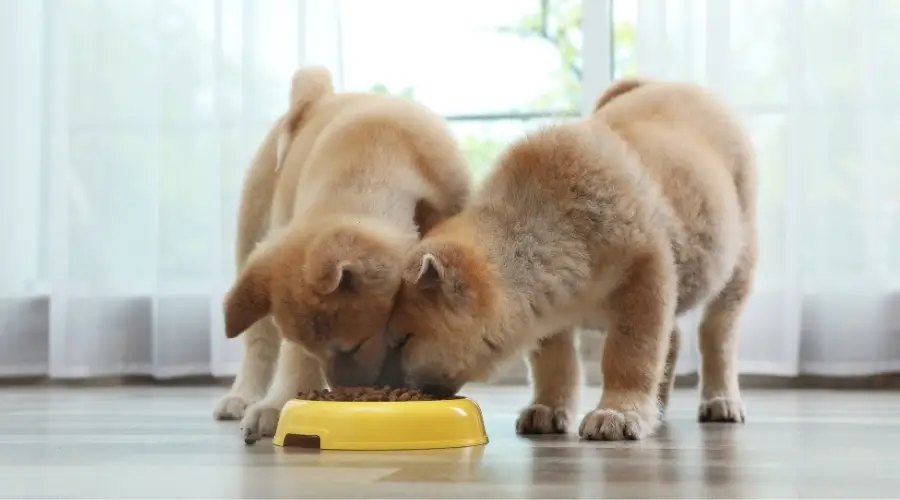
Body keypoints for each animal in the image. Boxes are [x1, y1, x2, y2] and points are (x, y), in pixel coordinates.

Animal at [214, 65, 472, 442]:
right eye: (319, 350)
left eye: (354, 346)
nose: (346, 394)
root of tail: (317, 98)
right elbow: (294, 356)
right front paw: (279, 404)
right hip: (252, 240)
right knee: (258, 342)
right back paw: (244, 396)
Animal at [388, 78, 760, 442]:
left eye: (404, 340)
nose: (384, 385)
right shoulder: (547, 310)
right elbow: (556, 364)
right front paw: (547, 409)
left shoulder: (646, 275)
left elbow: (631, 354)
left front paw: (618, 413)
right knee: (677, 338)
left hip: (737, 266)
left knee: (717, 334)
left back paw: (721, 401)